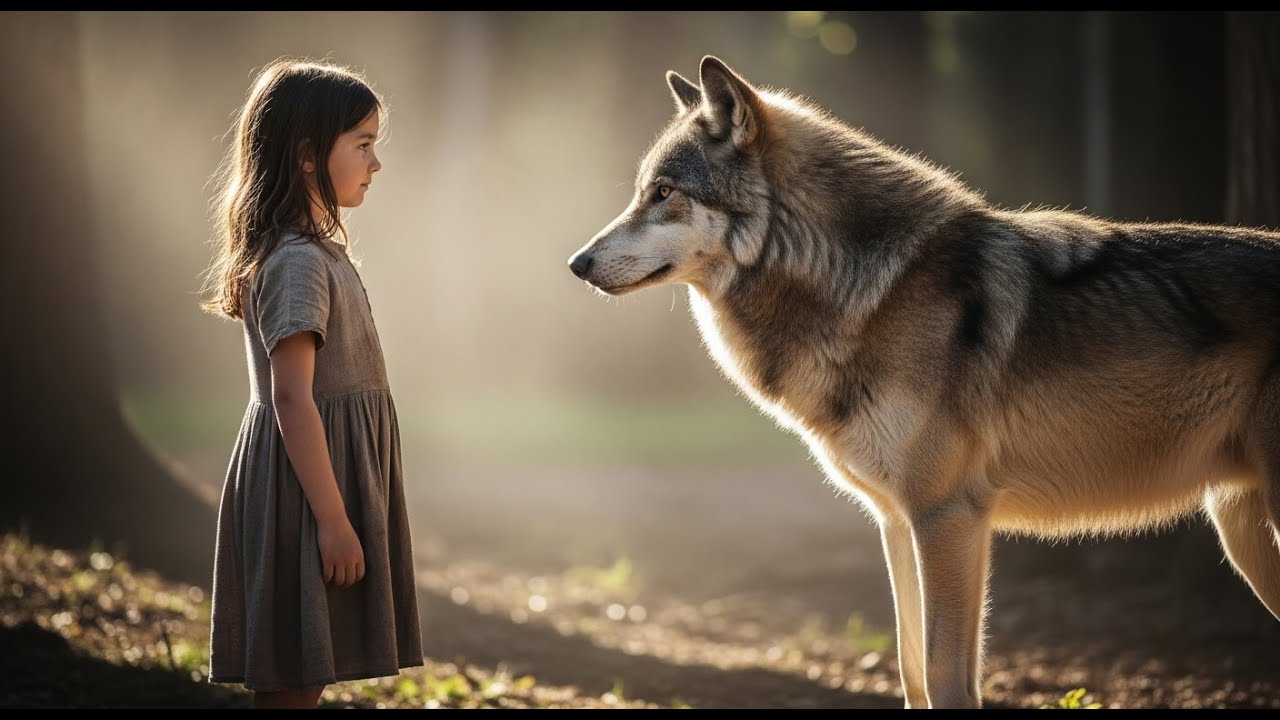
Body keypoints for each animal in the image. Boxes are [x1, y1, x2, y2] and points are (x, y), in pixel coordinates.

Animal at [566, 55, 1280, 708]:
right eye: (643, 190)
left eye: (664, 193)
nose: (576, 263)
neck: (872, 293)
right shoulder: (894, 521)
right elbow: (911, 670)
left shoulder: (948, 518)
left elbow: (944, 676)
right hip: (1241, 531)